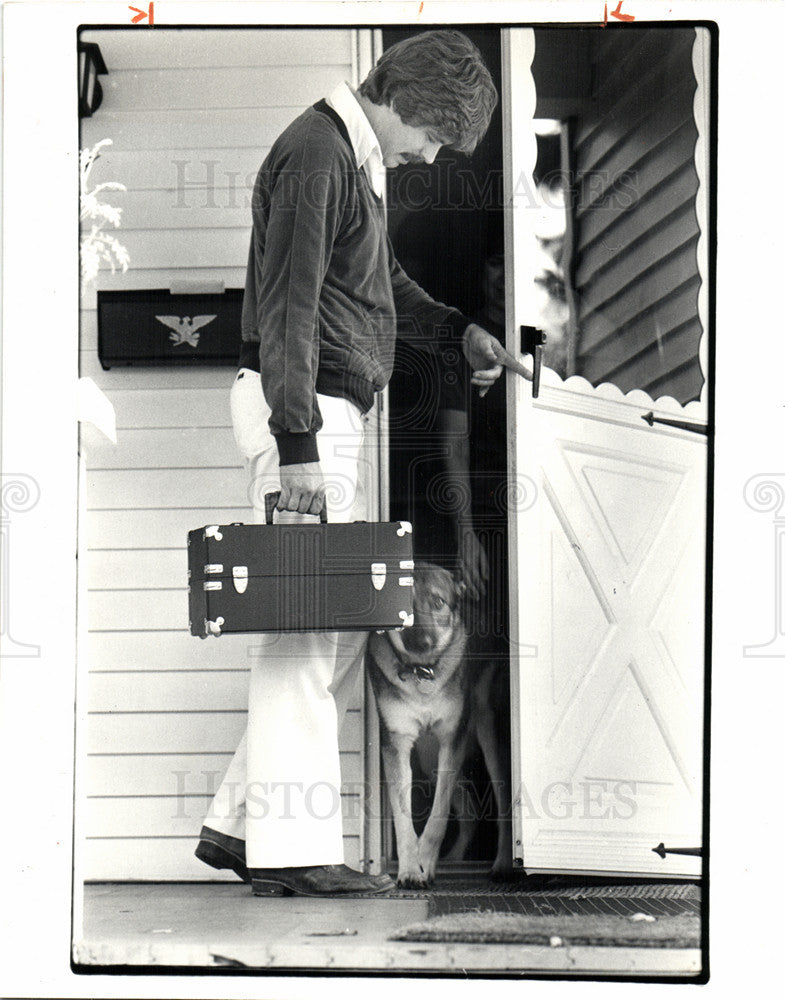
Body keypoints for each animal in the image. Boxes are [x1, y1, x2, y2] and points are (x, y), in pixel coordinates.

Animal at [370, 568, 516, 888]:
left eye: (438, 601)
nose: (423, 642)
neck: (422, 672)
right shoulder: (397, 745)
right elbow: (403, 819)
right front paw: (410, 869)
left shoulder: (452, 741)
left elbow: (437, 817)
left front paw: (424, 863)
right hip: (429, 760)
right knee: (471, 813)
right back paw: (455, 859)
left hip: (489, 737)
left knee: (504, 809)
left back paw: (502, 864)